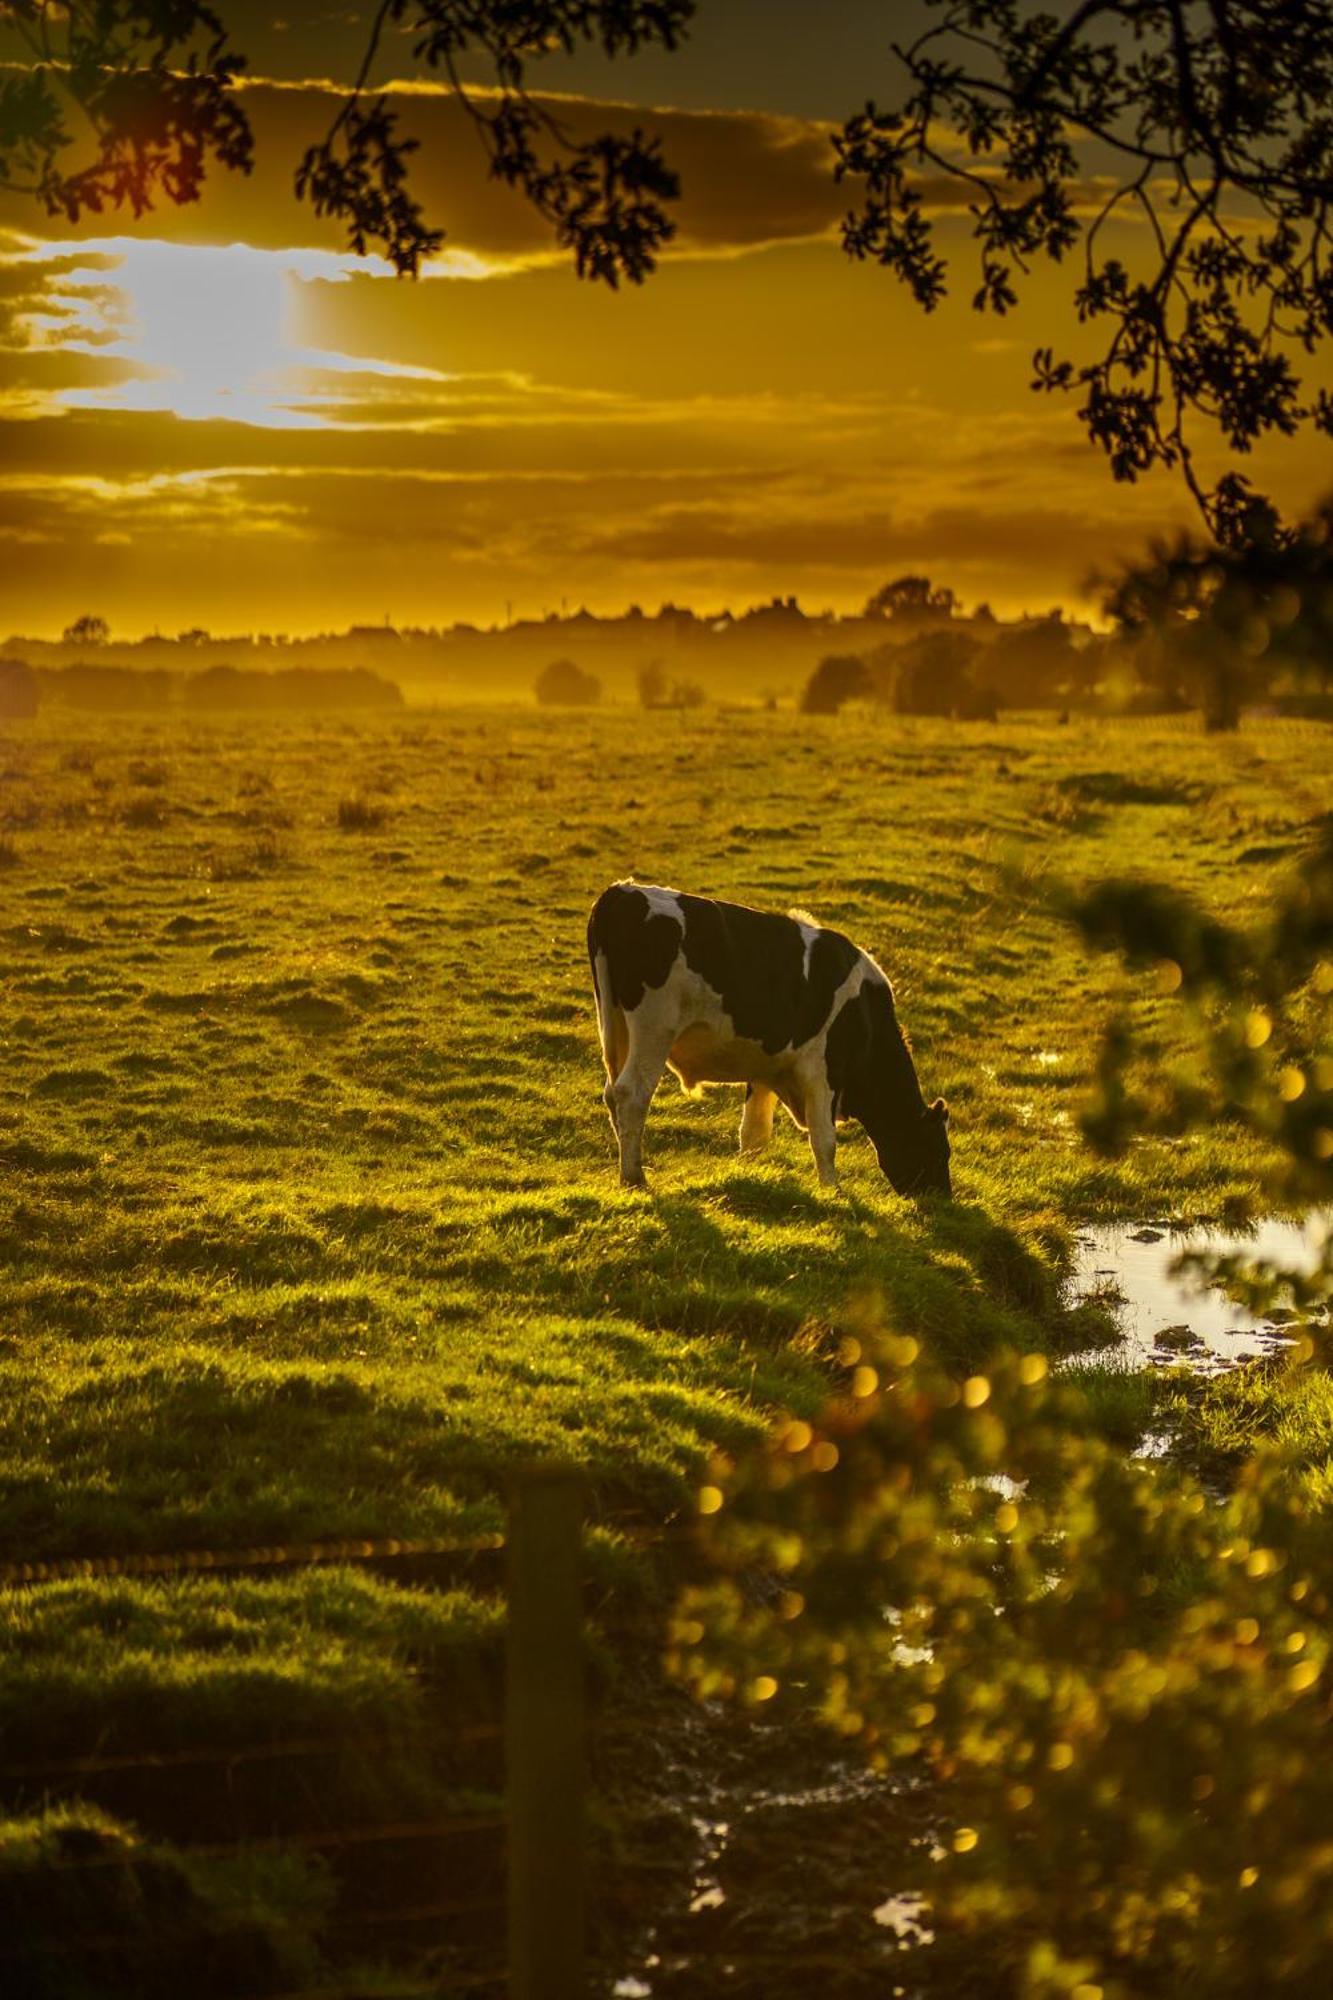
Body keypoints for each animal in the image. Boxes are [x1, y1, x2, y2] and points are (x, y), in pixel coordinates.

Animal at [588, 884, 948, 1192]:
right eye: (940, 1150)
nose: (943, 1198)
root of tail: (622, 891)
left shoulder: (767, 1066)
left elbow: (754, 1133)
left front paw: (748, 1173)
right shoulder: (823, 1071)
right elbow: (824, 1139)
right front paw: (832, 1190)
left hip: (614, 1026)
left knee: (612, 1093)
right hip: (654, 1029)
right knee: (632, 1093)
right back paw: (634, 1177)